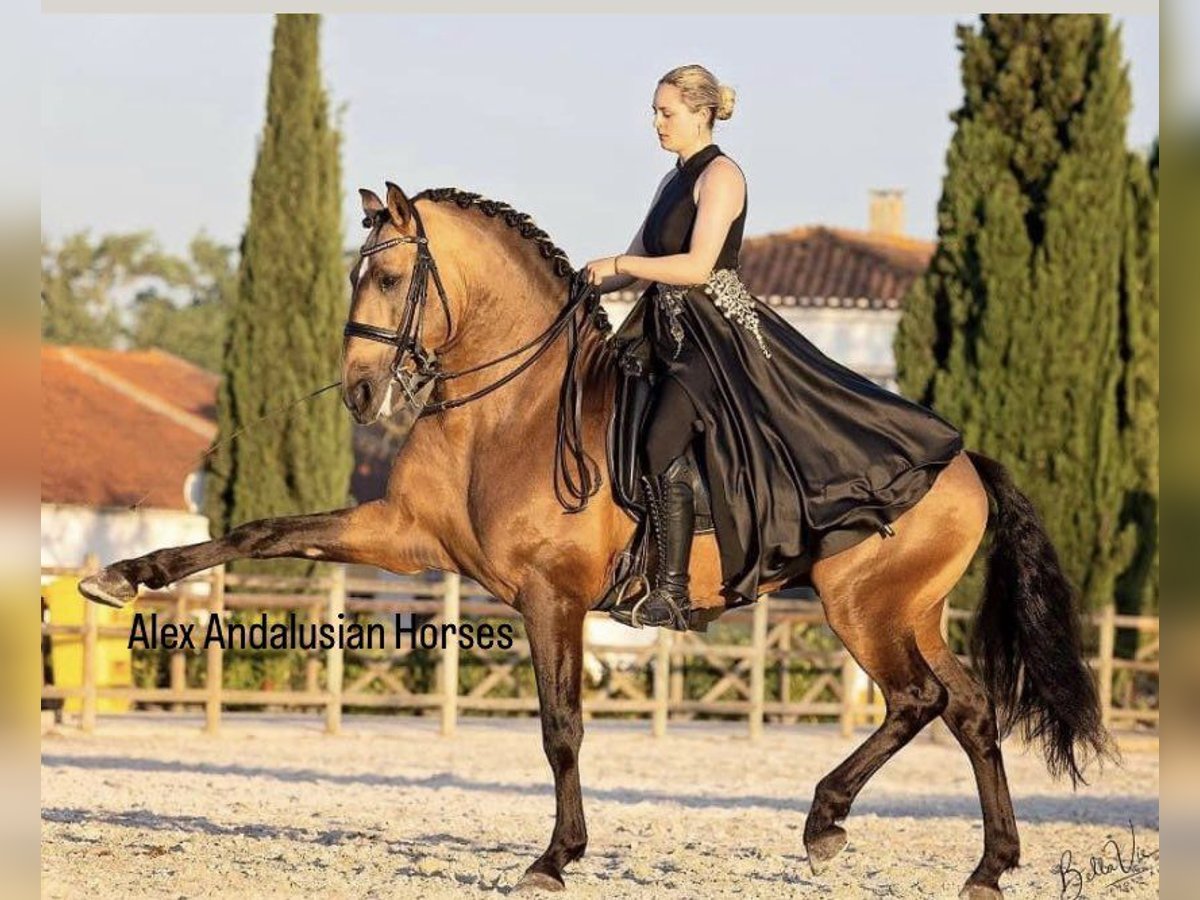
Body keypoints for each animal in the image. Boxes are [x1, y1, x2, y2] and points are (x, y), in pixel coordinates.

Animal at [82, 180, 1113, 897]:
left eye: (388, 276)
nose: (365, 394)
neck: (506, 411)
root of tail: (962, 458)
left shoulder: (554, 594)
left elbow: (561, 727)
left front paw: (554, 857)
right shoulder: (402, 538)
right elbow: (264, 528)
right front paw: (125, 576)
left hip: (863, 606)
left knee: (918, 701)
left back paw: (826, 823)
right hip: (910, 610)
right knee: (971, 711)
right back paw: (989, 865)